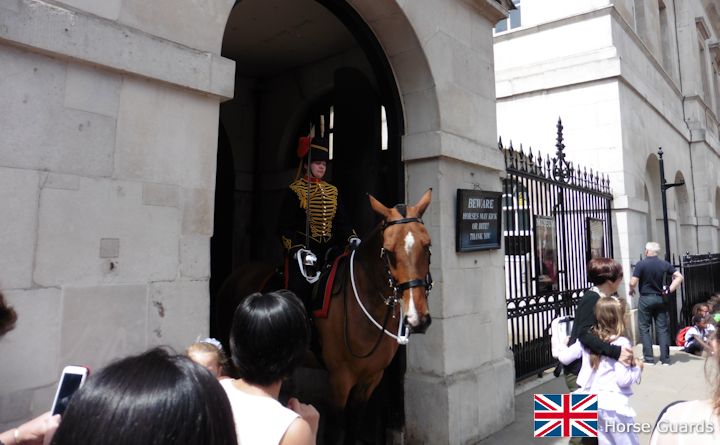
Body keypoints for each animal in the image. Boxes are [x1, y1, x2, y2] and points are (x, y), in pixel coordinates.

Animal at [217, 187, 434, 440]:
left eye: (427, 247)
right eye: (388, 252)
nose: (417, 319)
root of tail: (239, 274)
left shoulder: (371, 377)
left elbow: (354, 425)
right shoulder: (340, 379)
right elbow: (335, 428)